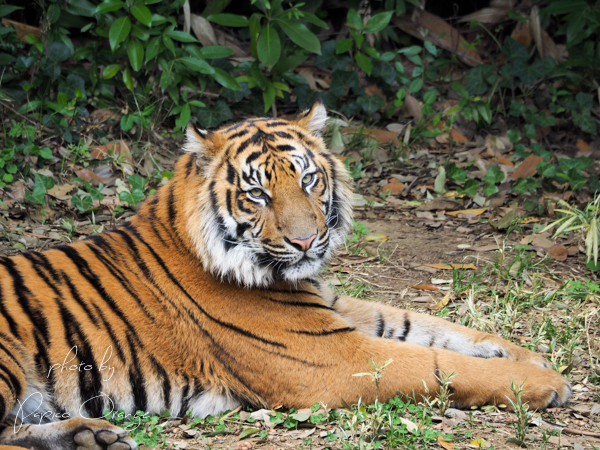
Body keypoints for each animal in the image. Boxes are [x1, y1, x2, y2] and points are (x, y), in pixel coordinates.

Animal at [0, 102, 572, 450]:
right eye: (257, 193)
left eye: (309, 179)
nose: (304, 241)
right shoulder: (331, 358)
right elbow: (437, 362)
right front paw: (546, 384)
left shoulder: (333, 309)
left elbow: (430, 327)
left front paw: (526, 355)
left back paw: (91, 435)